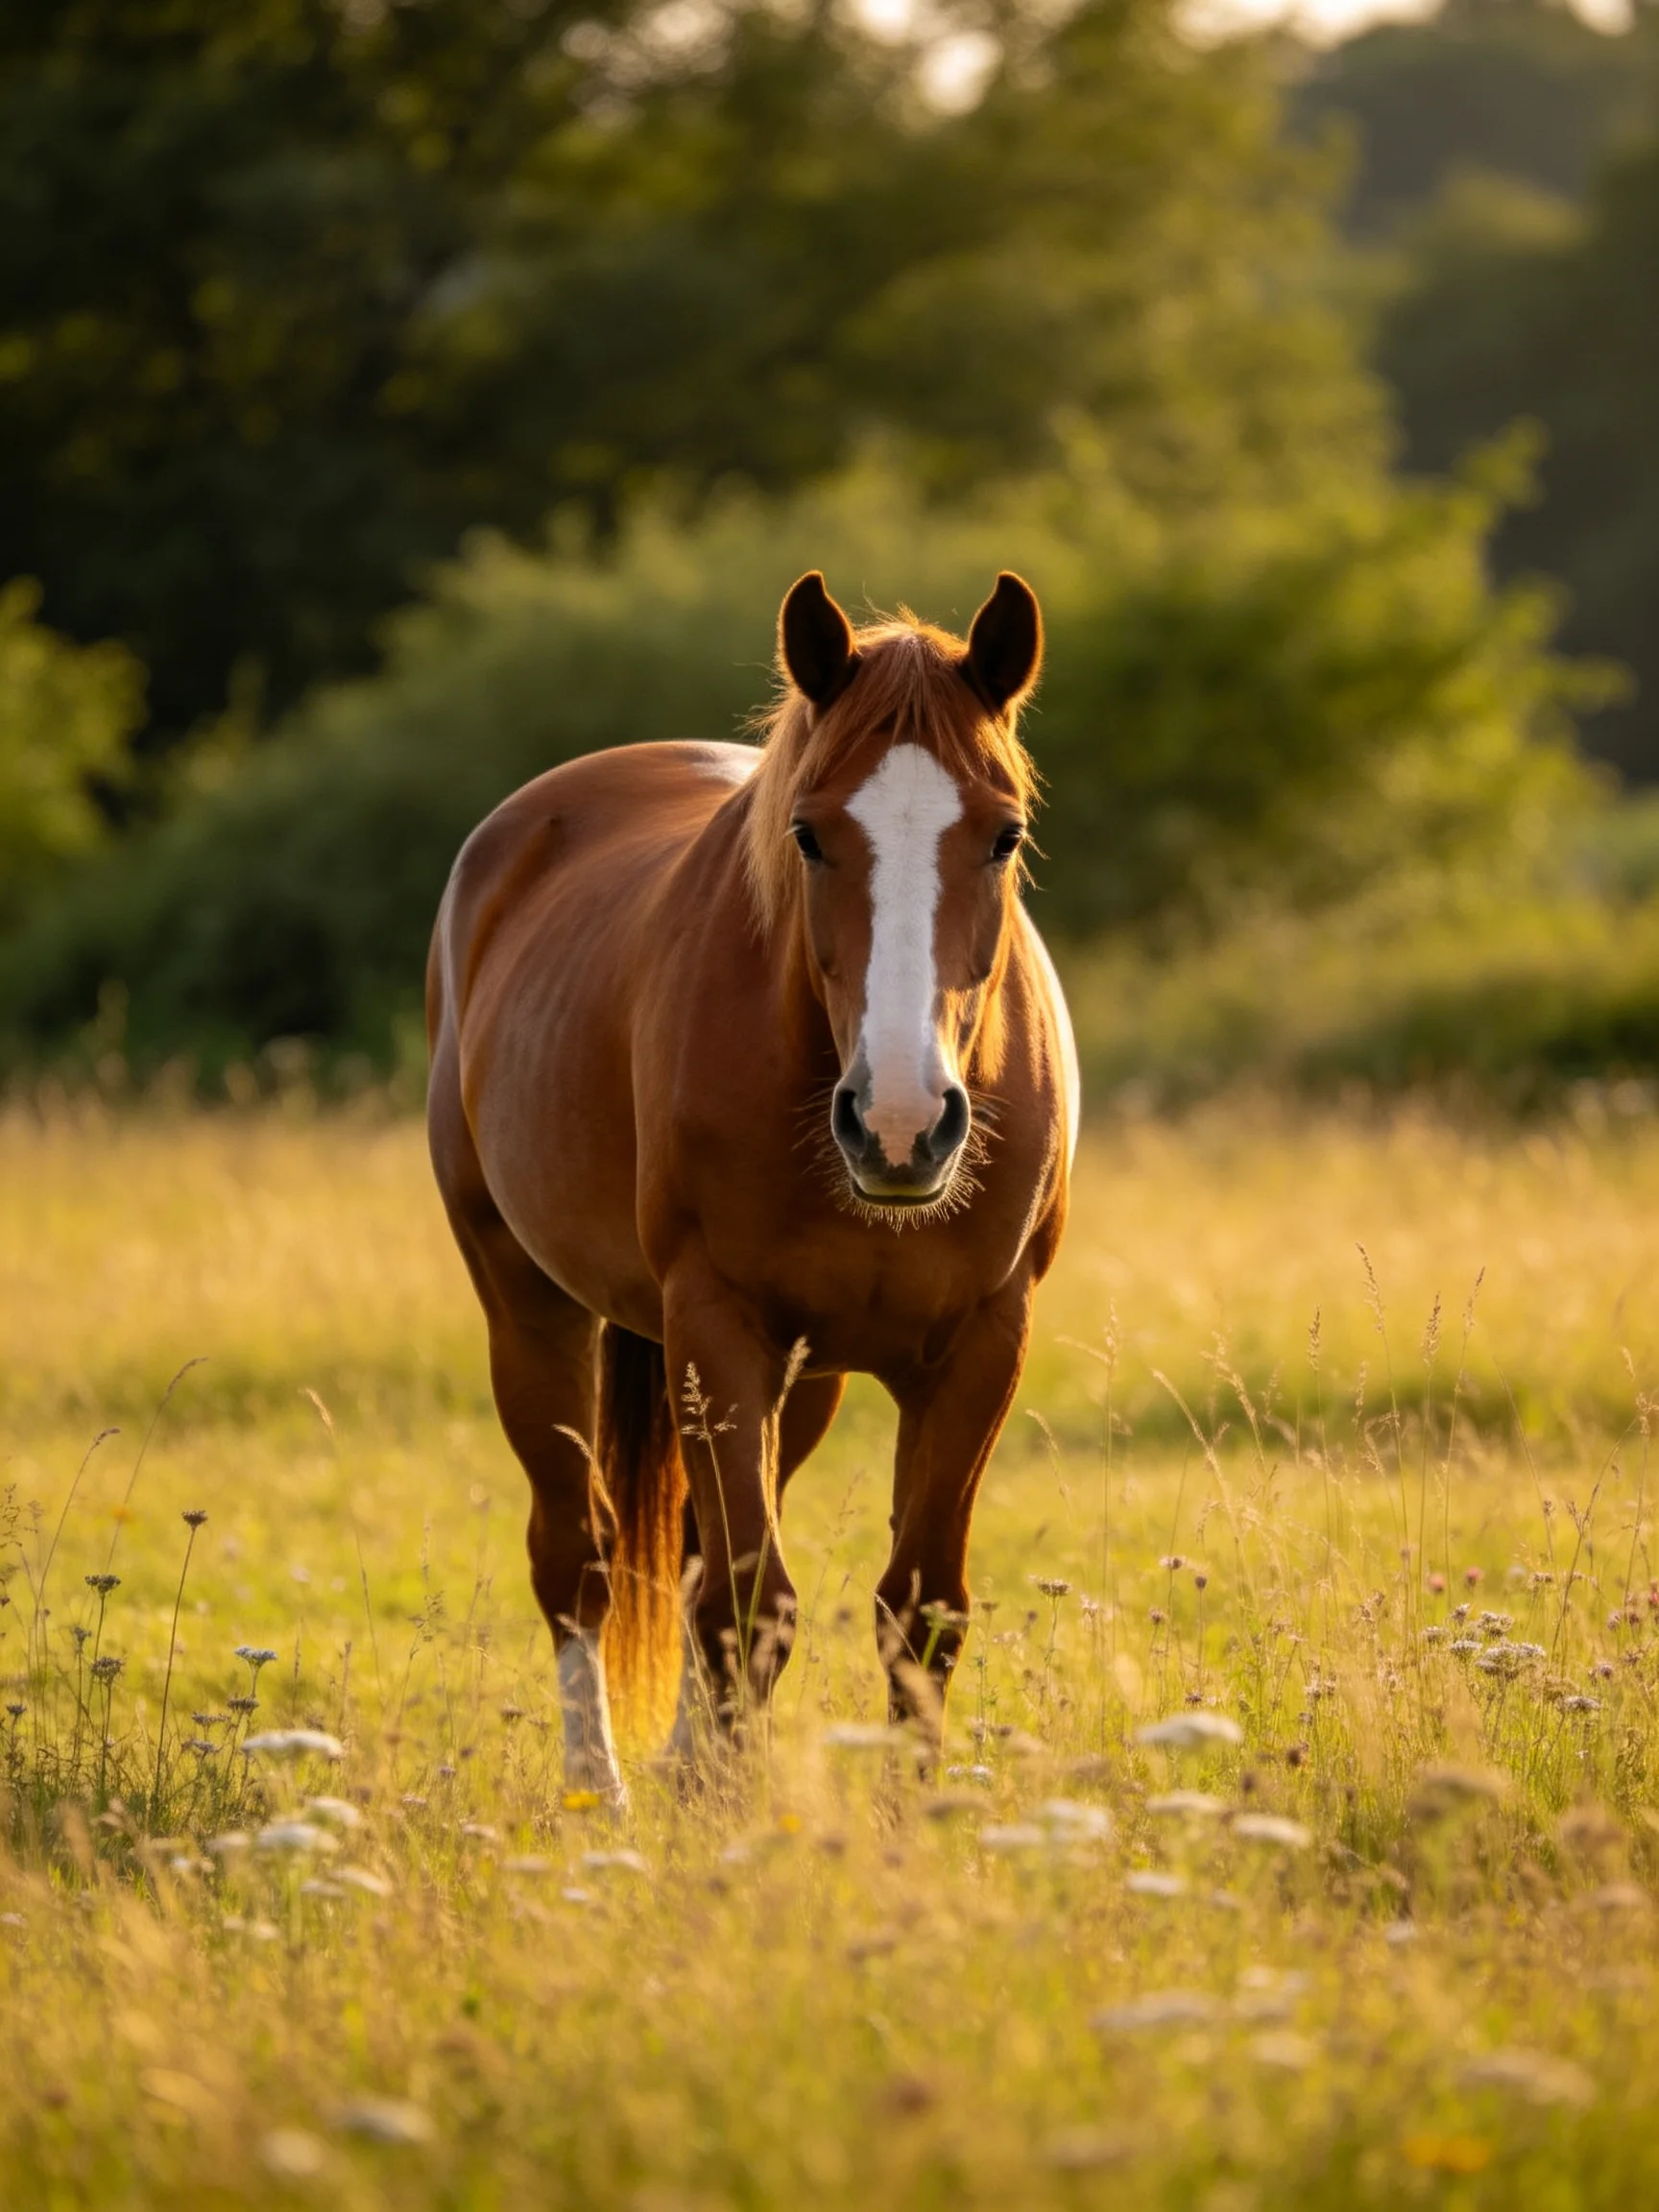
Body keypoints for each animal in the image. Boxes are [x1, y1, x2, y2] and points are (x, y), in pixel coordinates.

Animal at [426, 569, 1077, 1798]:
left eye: (1005, 835)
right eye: (809, 836)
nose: (901, 1126)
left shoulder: (983, 1342)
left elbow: (918, 1609)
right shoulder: (716, 1326)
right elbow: (745, 1606)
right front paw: (722, 1809)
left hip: (803, 1379)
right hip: (528, 1305)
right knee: (576, 1556)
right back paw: (599, 1791)